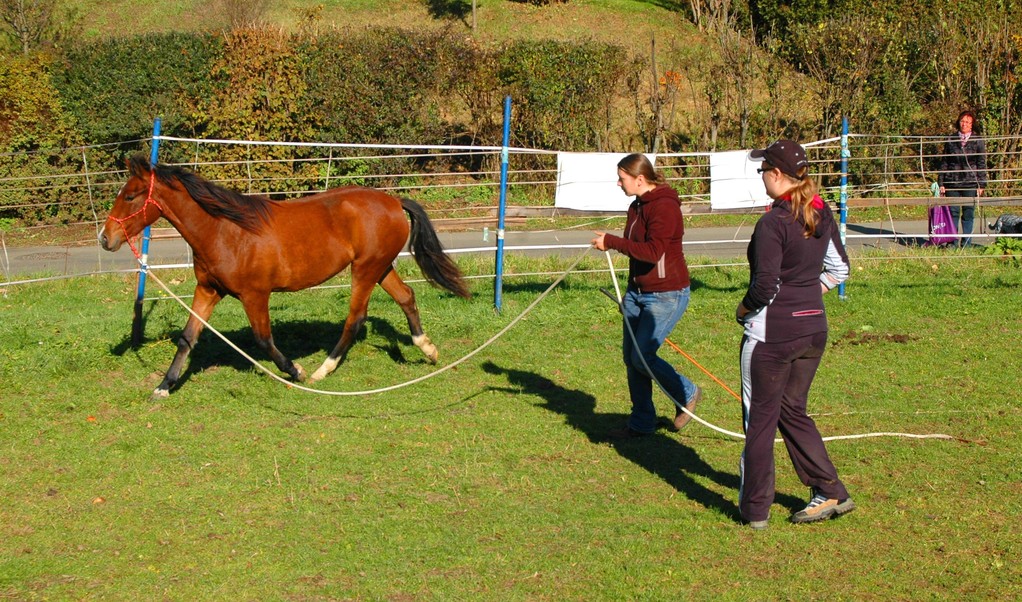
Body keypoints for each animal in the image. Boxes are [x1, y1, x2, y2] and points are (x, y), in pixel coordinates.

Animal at [99, 155, 468, 396]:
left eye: (129, 195)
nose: (105, 239)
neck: (224, 231)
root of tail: (393, 201)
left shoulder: (254, 295)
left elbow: (263, 339)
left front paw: (296, 371)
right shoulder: (207, 290)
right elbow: (187, 338)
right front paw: (164, 386)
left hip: (365, 270)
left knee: (355, 318)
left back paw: (321, 371)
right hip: (379, 267)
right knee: (406, 296)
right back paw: (429, 350)